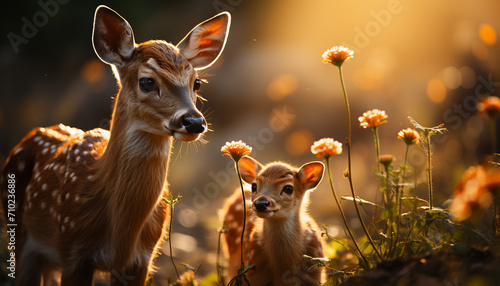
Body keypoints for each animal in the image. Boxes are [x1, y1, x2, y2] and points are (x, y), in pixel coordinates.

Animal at [0, 5, 229, 284]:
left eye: (197, 83)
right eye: (147, 81)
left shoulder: (142, 259)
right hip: (19, 234)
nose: (194, 121)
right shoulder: (72, 249)